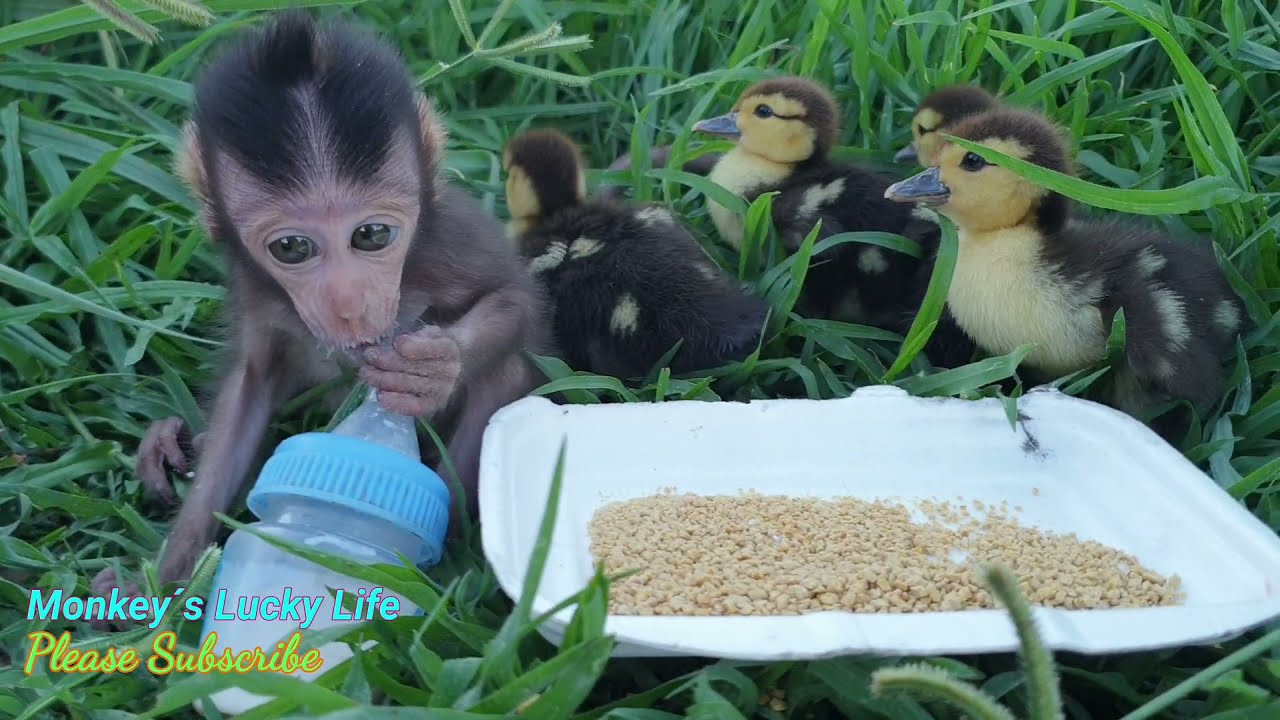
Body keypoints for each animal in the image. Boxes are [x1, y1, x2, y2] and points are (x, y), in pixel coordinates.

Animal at [91, 10, 549, 598]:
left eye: (372, 235)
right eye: (292, 248)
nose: (349, 304)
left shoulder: (447, 239)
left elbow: (515, 299)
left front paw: (434, 370)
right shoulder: (250, 285)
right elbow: (251, 385)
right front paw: (163, 578)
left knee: (506, 370)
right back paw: (167, 447)